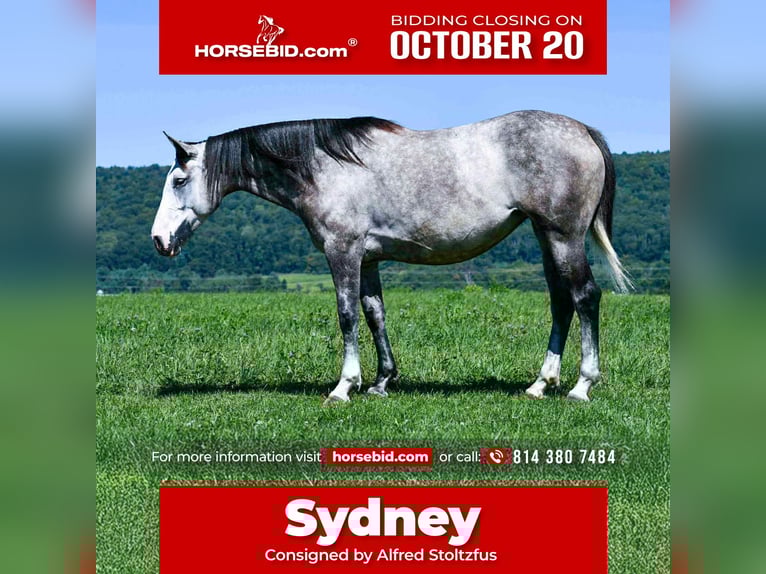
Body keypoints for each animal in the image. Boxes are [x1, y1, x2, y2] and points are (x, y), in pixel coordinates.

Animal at [151, 112, 632, 404]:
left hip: (563, 237)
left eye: (178, 180)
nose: (158, 240)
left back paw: (581, 385)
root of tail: (583, 131)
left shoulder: (342, 251)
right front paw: (382, 381)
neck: (326, 165)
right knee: (561, 303)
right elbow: (374, 313)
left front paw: (345, 385)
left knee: (585, 297)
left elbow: (346, 314)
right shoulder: (367, 259)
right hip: (546, 238)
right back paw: (540, 384)